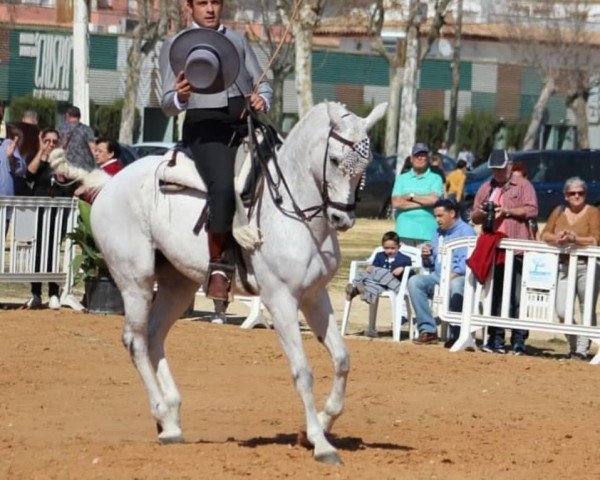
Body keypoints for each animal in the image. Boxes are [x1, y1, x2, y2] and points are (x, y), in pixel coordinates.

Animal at [78, 102, 384, 464]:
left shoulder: (314, 296)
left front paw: (323, 421)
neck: (293, 212)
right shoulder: (281, 300)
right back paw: (161, 414)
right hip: (135, 280)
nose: (342, 218)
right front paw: (321, 443)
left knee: (153, 337)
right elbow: (303, 371)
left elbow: (342, 359)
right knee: (135, 341)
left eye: (366, 162)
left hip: (177, 285)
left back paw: (171, 419)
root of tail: (111, 183)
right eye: (335, 160)